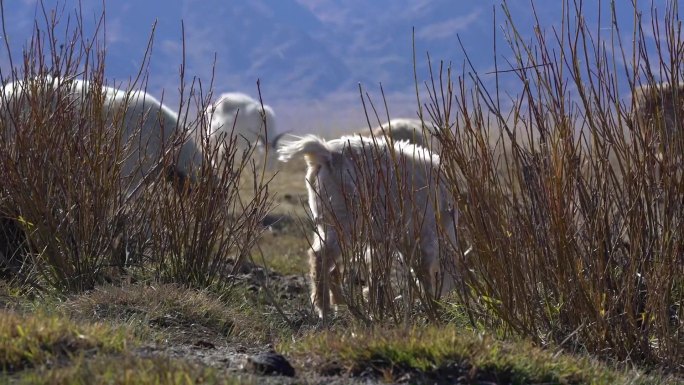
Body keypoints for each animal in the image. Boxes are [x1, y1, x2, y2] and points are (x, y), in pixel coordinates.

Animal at [278, 134, 460, 316]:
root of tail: (326, 153)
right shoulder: (422, 233)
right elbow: (422, 270)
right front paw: (429, 302)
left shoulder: (385, 240)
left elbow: (377, 268)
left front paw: (376, 300)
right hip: (345, 221)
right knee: (320, 256)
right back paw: (324, 308)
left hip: (329, 222)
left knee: (330, 261)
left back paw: (340, 301)